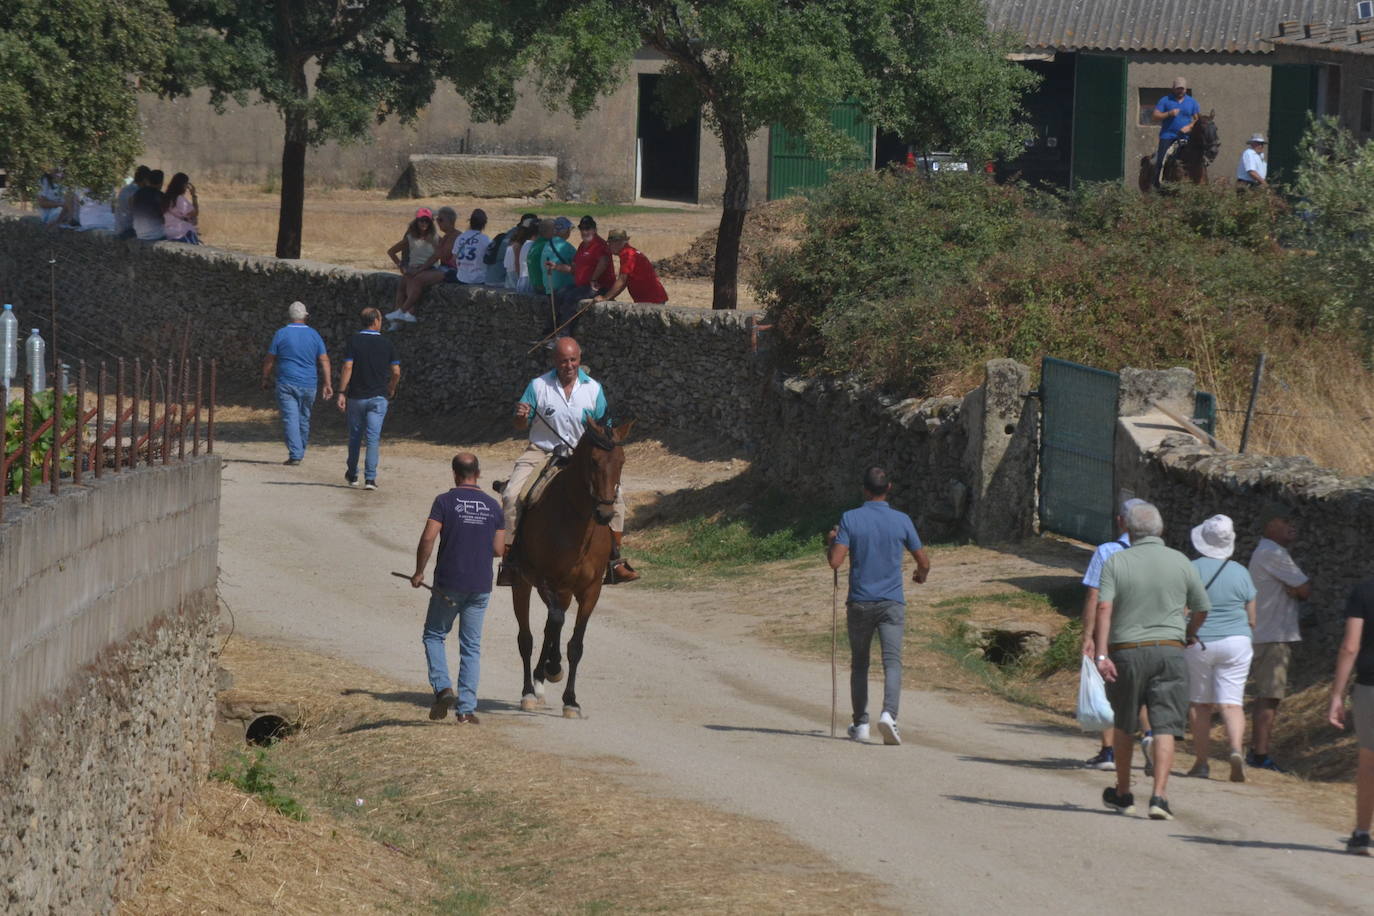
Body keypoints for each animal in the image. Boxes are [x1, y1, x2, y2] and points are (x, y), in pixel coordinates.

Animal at [510, 418, 634, 718]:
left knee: (549, 628)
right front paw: (553, 668)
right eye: (593, 461)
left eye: (622, 461)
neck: (578, 524)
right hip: (523, 584)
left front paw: (571, 700)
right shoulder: (546, 580)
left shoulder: (591, 590)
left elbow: (575, 644)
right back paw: (530, 690)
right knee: (527, 637)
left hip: (565, 591)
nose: (605, 514)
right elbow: (553, 623)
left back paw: (540, 680)